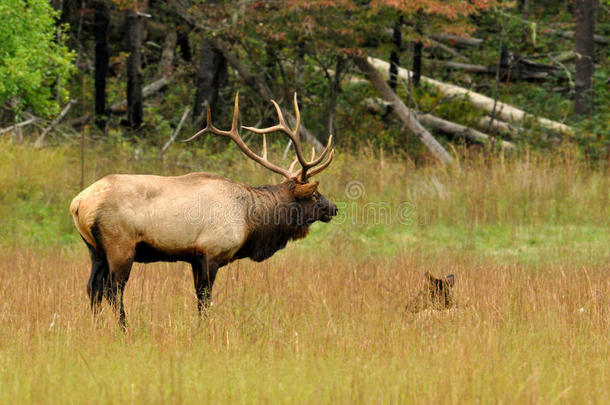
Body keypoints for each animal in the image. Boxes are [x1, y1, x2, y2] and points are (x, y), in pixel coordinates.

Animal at [72, 93, 338, 324]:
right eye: (315, 195)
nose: (334, 208)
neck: (250, 223)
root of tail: (78, 203)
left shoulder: (194, 258)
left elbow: (198, 298)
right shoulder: (211, 253)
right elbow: (205, 300)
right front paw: (204, 329)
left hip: (95, 249)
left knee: (92, 288)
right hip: (120, 246)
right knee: (112, 291)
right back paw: (124, 328)